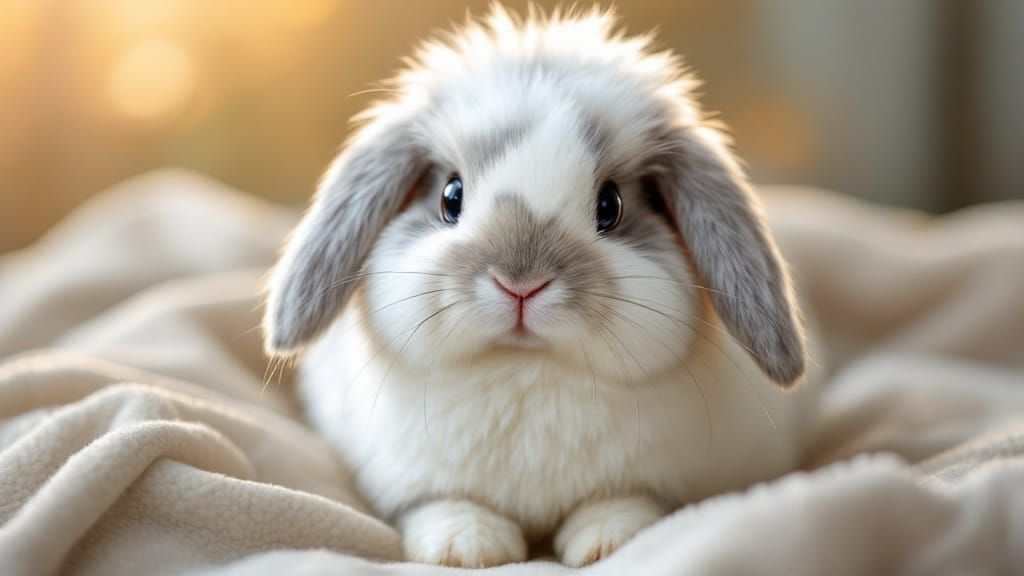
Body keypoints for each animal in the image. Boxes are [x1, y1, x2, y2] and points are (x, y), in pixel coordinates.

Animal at [263, 6, 817, 569]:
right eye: (450, 197)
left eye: (610, 206)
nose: (520, 284)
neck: (524, 368)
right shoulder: (412, 479)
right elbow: (440, 502)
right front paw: (467, 547)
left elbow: (630, 499)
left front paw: (606, 540)